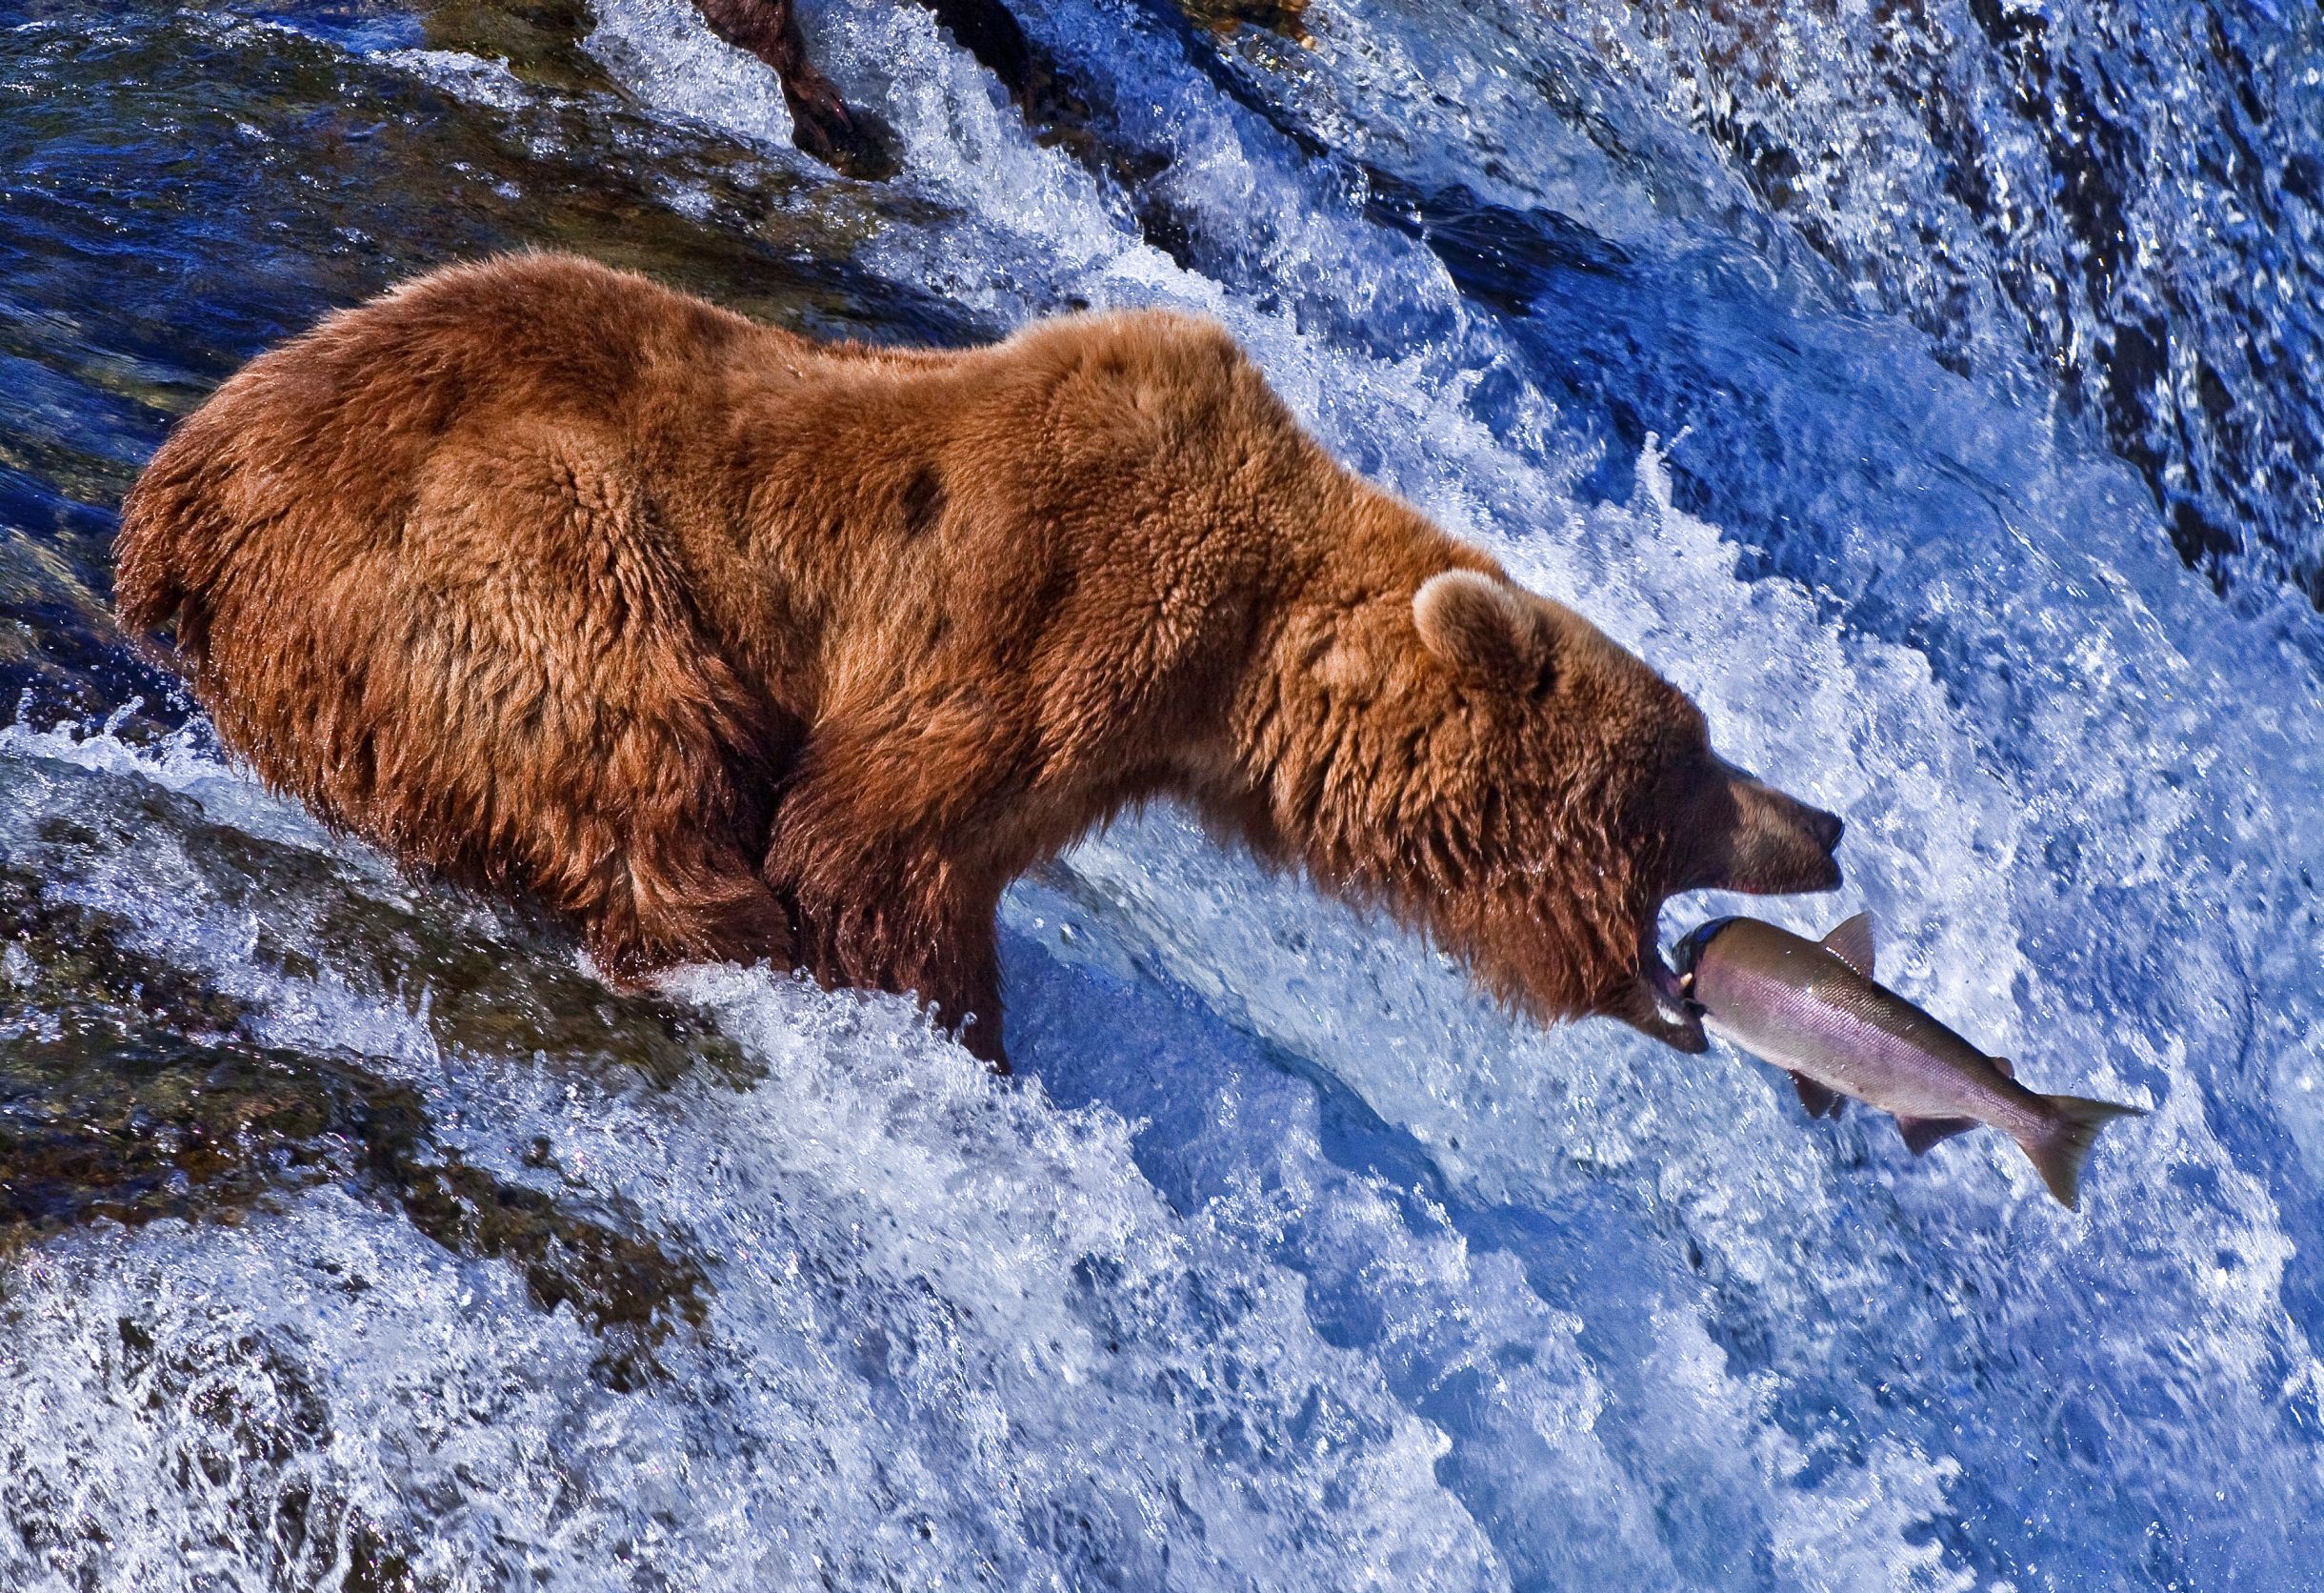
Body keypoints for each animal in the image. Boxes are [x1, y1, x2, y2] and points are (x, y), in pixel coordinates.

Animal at [117, 249, 1840, 1069]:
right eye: (1692, 756)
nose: (1823, 819)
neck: (1238, 672)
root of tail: (176, 497)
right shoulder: (1052, 609)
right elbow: (875, 846)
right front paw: (943, 1026)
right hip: (493, 535)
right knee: (631, 739)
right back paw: (707, 921)